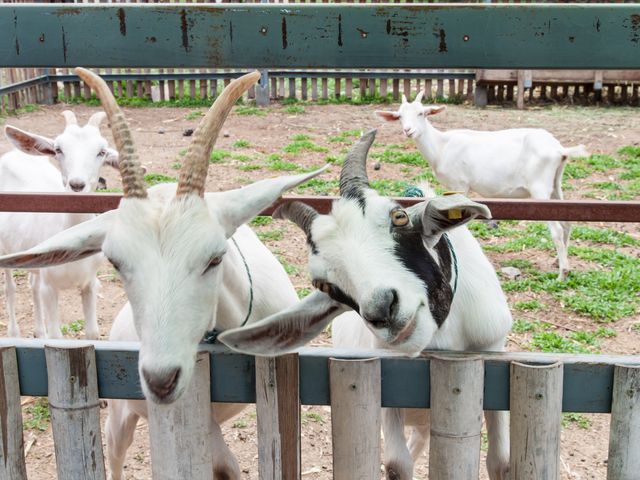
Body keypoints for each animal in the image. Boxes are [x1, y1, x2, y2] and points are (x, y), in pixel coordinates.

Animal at [0, 111, 119, 338]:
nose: (77, 184)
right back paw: (14, 332)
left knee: (32, 284)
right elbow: (56, 337)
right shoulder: (50, 288)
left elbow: (92, 333)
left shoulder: (90, 283)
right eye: (58, 149)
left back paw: (39, 331)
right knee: (10, 288)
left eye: (101, 152)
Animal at [220, 130, 516, 480]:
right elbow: (397, 464)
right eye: (325, 285)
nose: (383, 310)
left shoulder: (493, 354)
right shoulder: (386, 383)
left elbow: (501, 460)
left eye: (399, 217)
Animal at [376, 93, 592, 282]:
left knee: (556, 229)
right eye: (400, 116)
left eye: (422, 113)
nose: (408, 130)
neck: (441, 147)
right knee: (566, 222)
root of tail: (560, 150)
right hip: (555, 185)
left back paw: (562, 273)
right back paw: (559, 261)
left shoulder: (459, 185)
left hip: (540, 188)